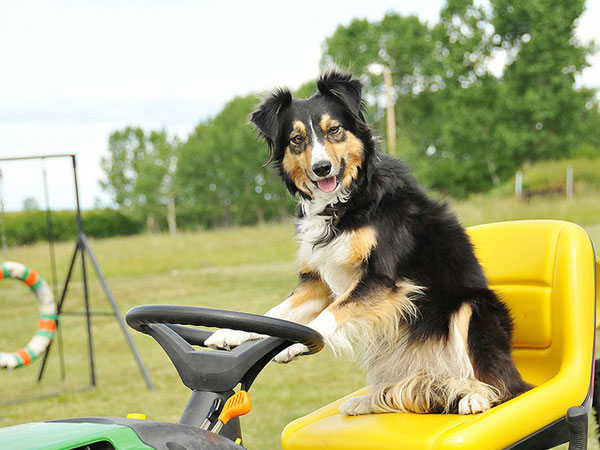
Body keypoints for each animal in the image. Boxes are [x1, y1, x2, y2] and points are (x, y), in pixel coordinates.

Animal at [205, 69, 528, 414]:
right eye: (297, 139)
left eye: (333, 129)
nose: (322, 168)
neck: (346, 201)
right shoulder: (317, 281)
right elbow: (276, 312)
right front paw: (229, 331)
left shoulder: (382, 280)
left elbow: (327, 316)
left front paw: (289, 348)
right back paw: (370, 400)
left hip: (474, 308)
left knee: (501, 384)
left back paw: (475, 397)